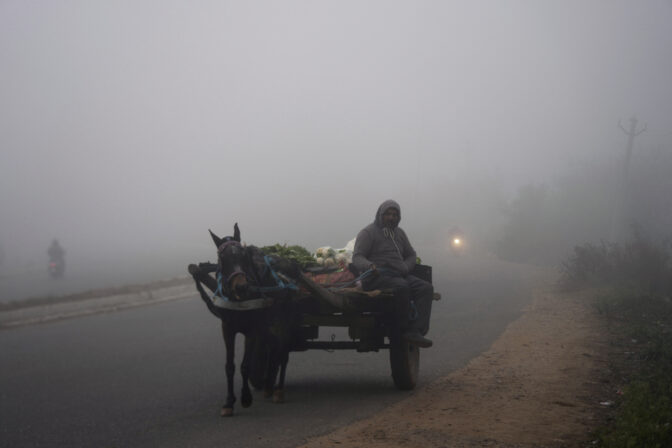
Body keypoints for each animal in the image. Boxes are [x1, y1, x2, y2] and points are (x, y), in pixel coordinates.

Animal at [186, 223, 296, 416]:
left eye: (244, 255)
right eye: (222, 258)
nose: (242, 286)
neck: (238, 299)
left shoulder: (251, 330)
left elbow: (245, 365)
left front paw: (245, 398)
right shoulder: (227, 328)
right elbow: (229, 366)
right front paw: (229, 402)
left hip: (283, 322)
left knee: (282, 353)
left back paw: (278, 391)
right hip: (267, 326)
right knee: (273, 351)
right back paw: (268, 386)